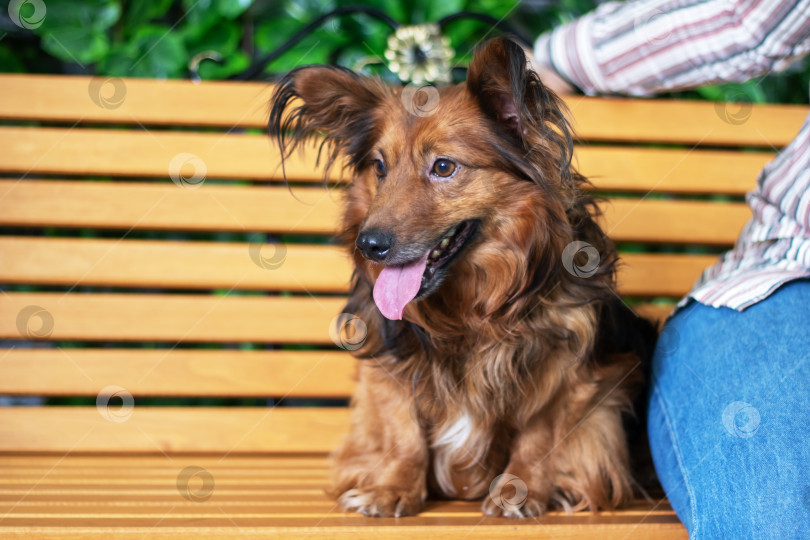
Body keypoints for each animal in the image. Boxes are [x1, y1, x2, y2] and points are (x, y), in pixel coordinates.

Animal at [268, 37, 652, 520]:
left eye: (444, 167)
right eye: (380, 167)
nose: (368, 245)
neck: (471, 308)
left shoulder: (565, 362)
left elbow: (540, 433)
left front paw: (520, 489)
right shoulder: (388, 355)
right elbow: (402, 429)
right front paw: (392, 488)